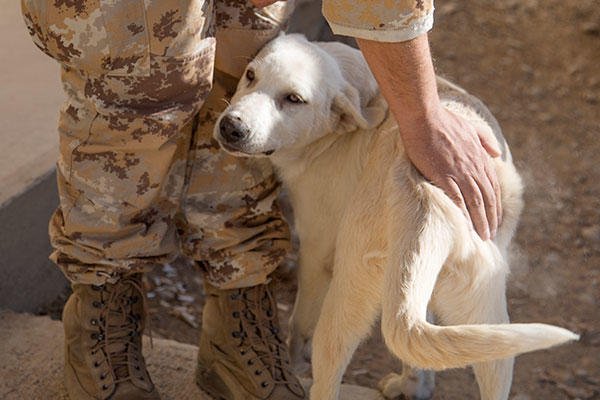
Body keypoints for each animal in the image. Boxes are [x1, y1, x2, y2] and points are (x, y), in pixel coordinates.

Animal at [213, 35, 580, 400]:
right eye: (250, 75)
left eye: (293, 99)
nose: (231, 127)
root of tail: (427, 198)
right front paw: (417, 384)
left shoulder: (317, 253)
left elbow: (299, 325)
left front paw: (290, 362)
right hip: (488, 318)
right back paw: (412, 386)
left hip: (348, 293)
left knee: (329, 370)